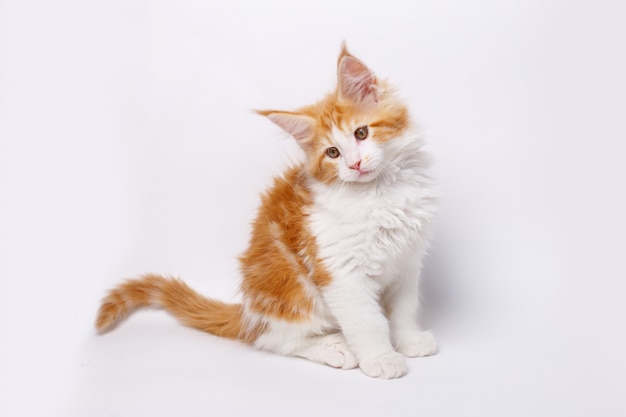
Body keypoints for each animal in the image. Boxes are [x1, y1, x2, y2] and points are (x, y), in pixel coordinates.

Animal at [98, 44, 438, 378]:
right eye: (332, 153)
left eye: (362, 133)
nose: (354, 164)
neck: (381, 193)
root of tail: (247, 311)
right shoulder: (340, 270)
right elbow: (367, 320)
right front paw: (381, 358)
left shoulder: (408, 261)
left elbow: (404, 308)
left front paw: (409, 340)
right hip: (291, 291)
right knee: (274, 339)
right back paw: (334, 347)